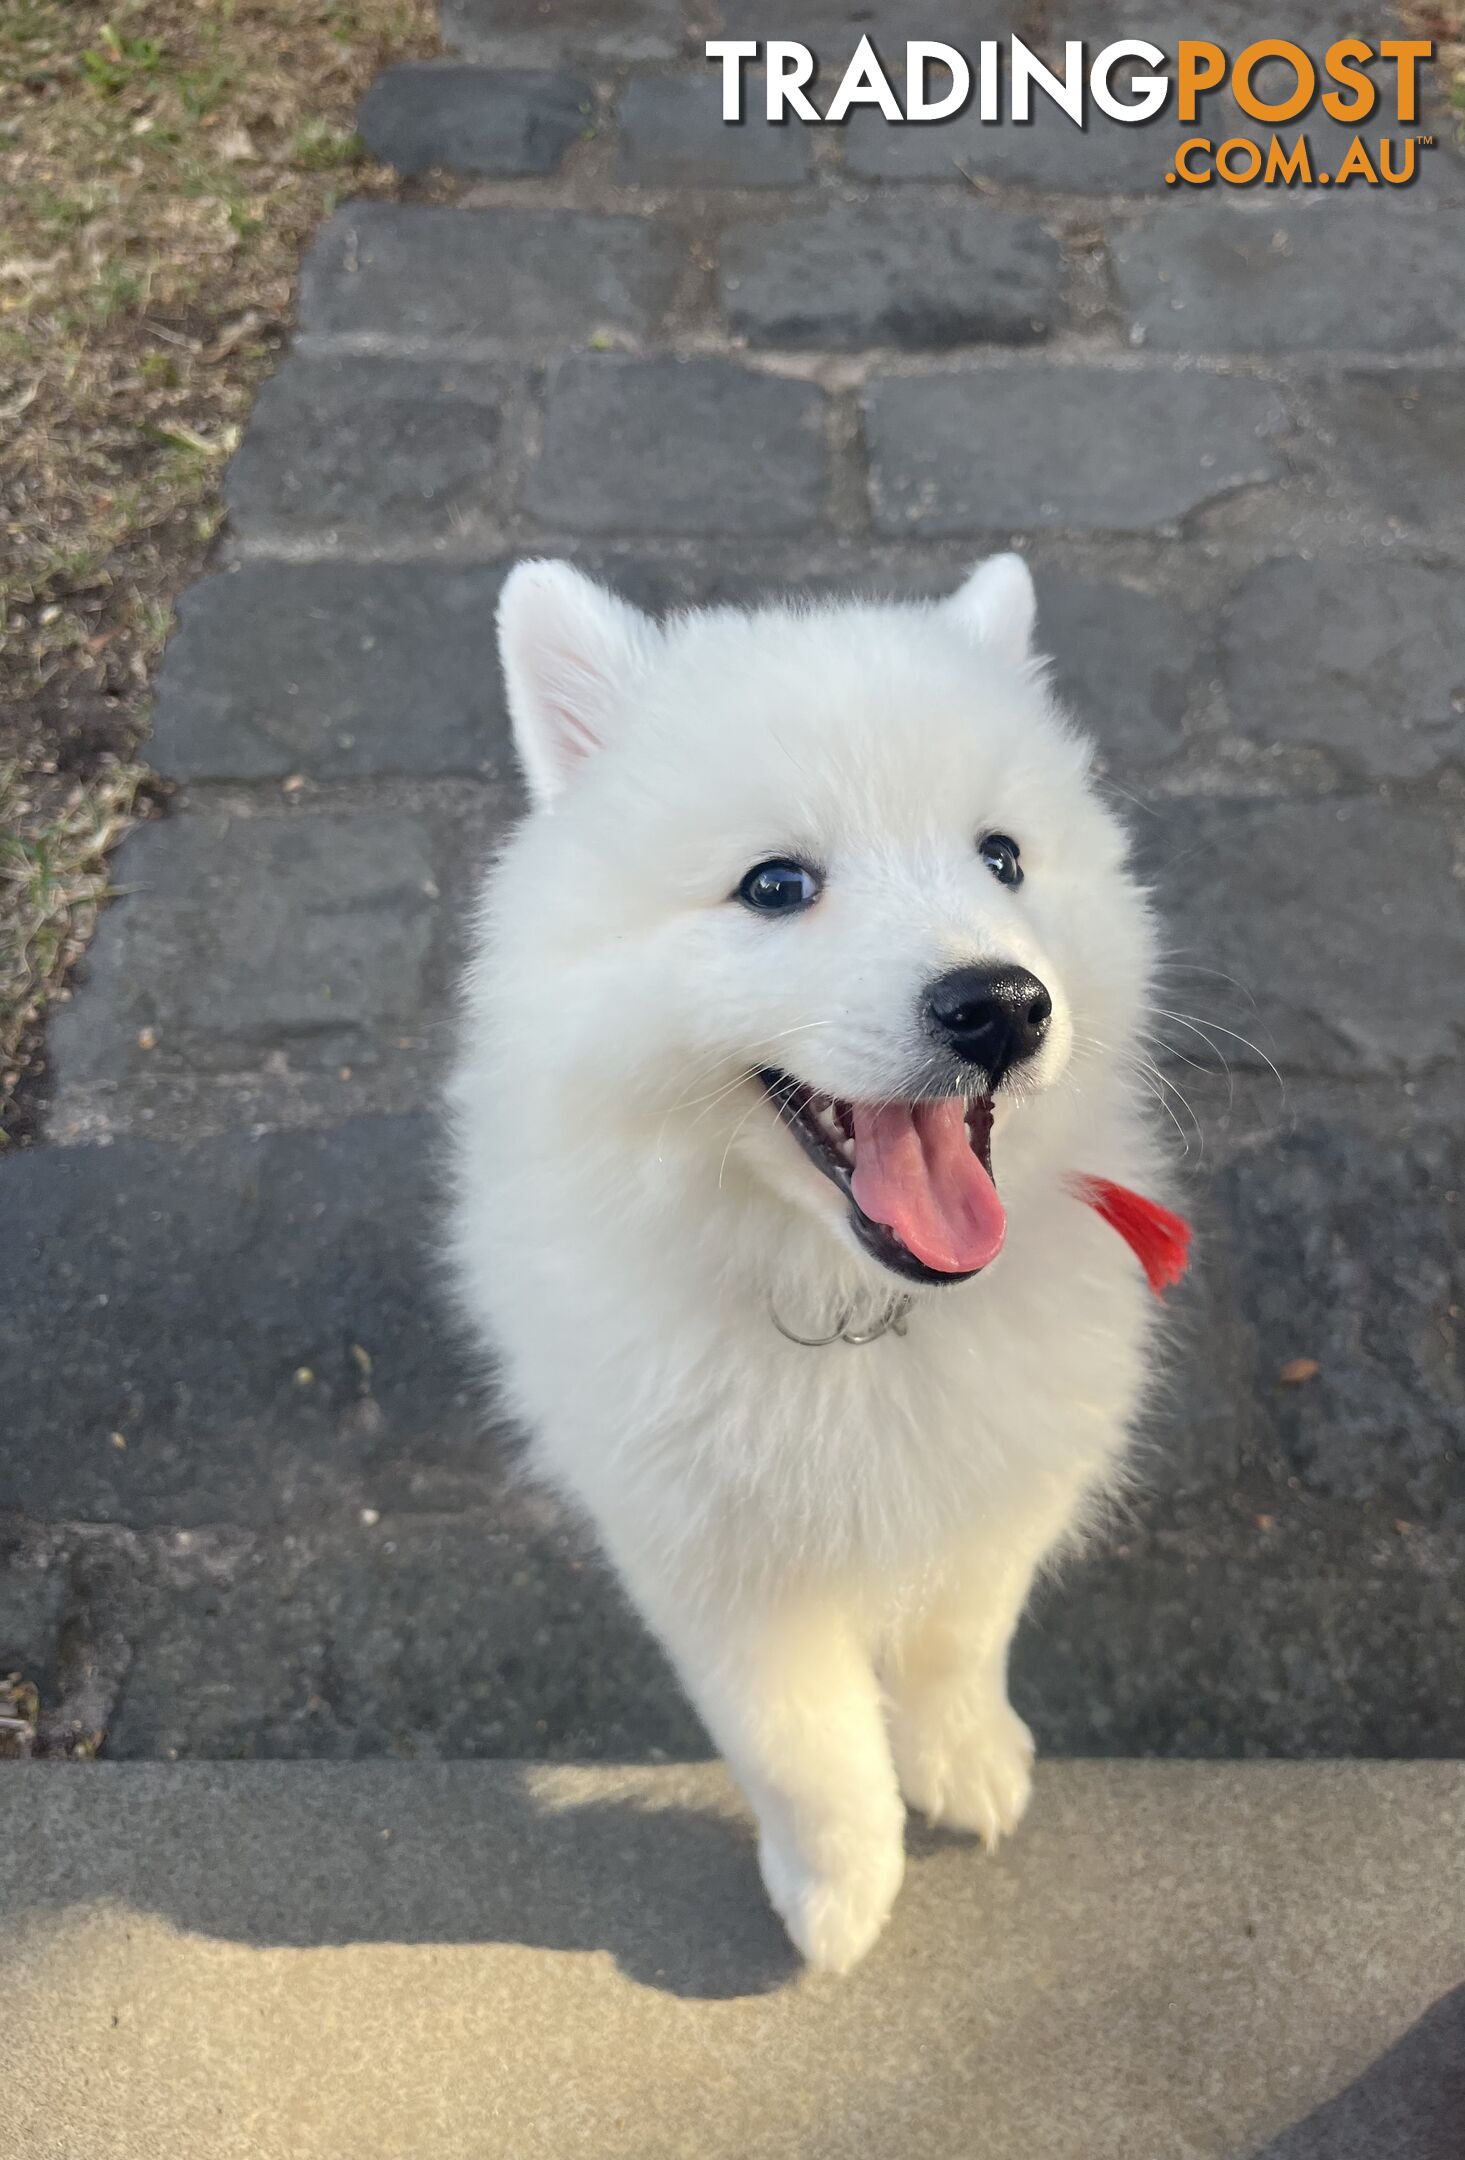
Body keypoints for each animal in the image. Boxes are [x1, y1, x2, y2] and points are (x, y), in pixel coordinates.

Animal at [453, 557, 1175, 1978]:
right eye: (776, 886)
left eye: (1002, 858)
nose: (1001, 1005)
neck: (854, 1313)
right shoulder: (715, 1561)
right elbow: (801, 1746)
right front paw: (839, 1893)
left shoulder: (999, 1485)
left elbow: (958, 1642)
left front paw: (966, 1765)